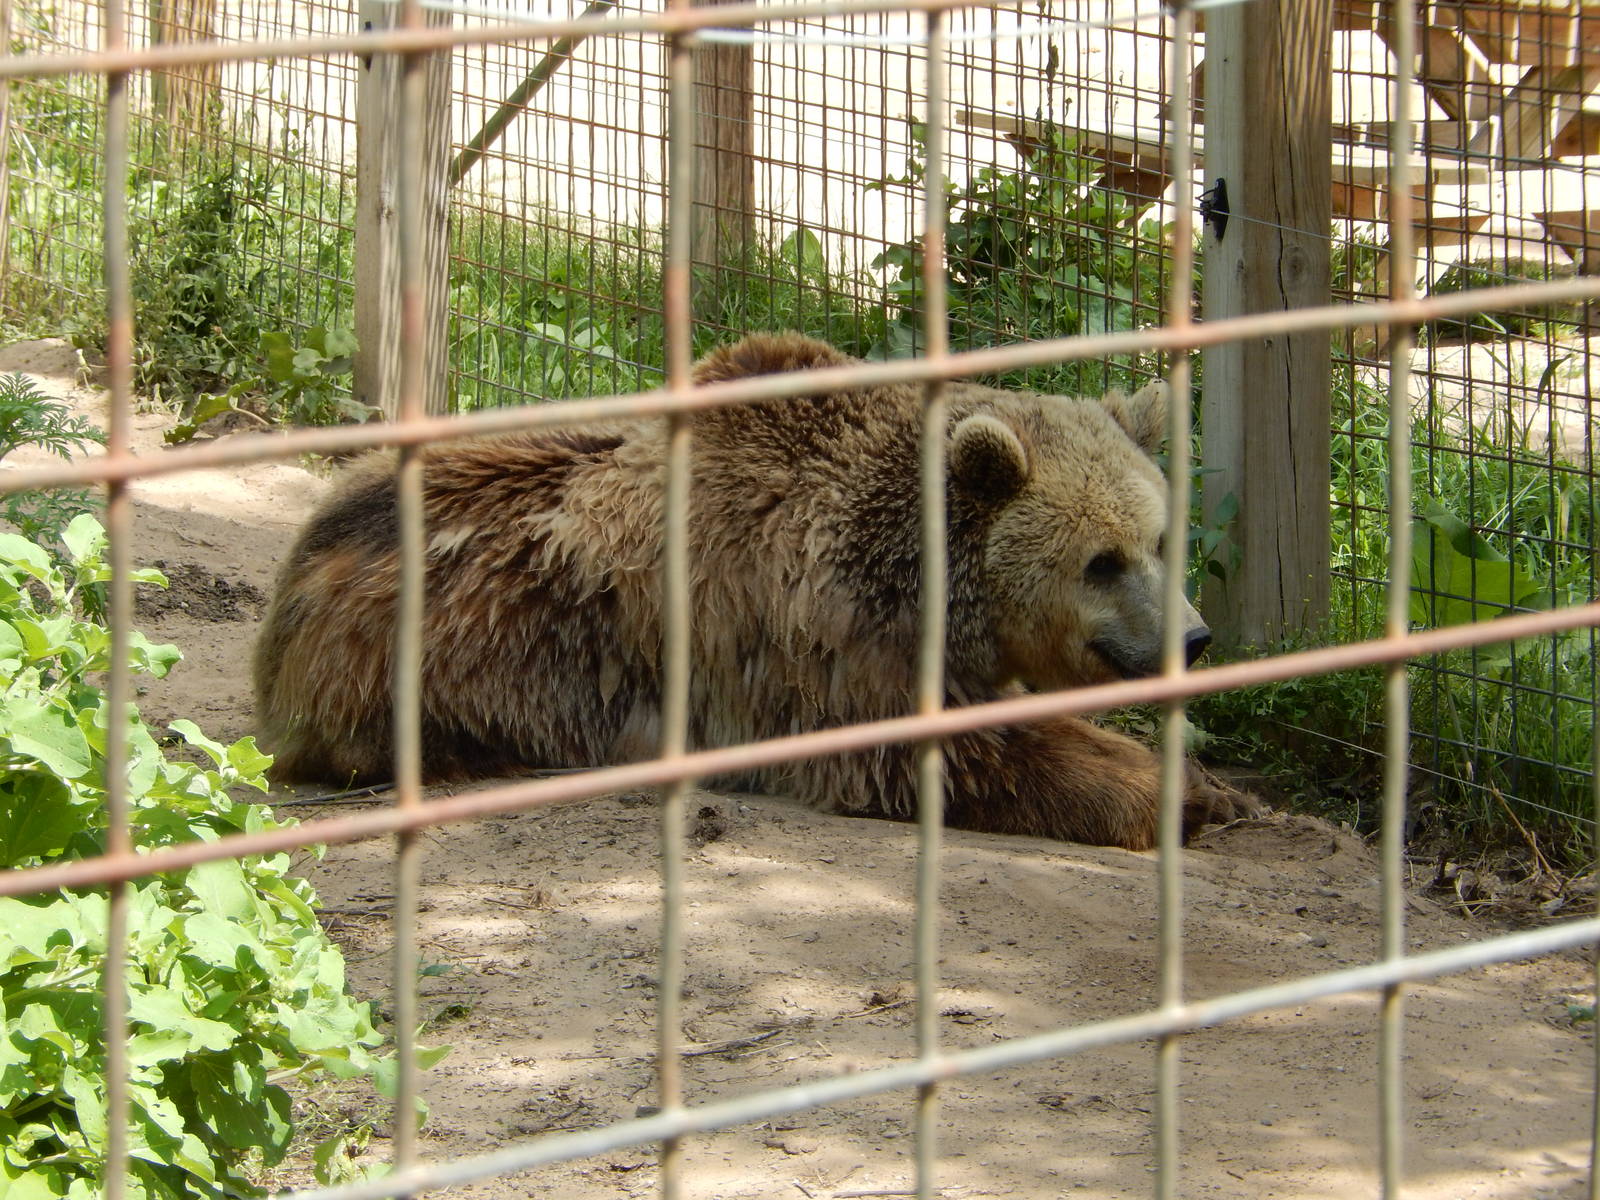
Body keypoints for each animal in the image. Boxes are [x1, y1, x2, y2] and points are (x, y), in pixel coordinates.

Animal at [253, 332, 1257, 849]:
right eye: (1102, 561)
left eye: (1160, 540)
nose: (1195, 639)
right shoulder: (824, 644)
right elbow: (948, 751)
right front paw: (1172, 793)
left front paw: (1216, 785)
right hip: (415, 663)